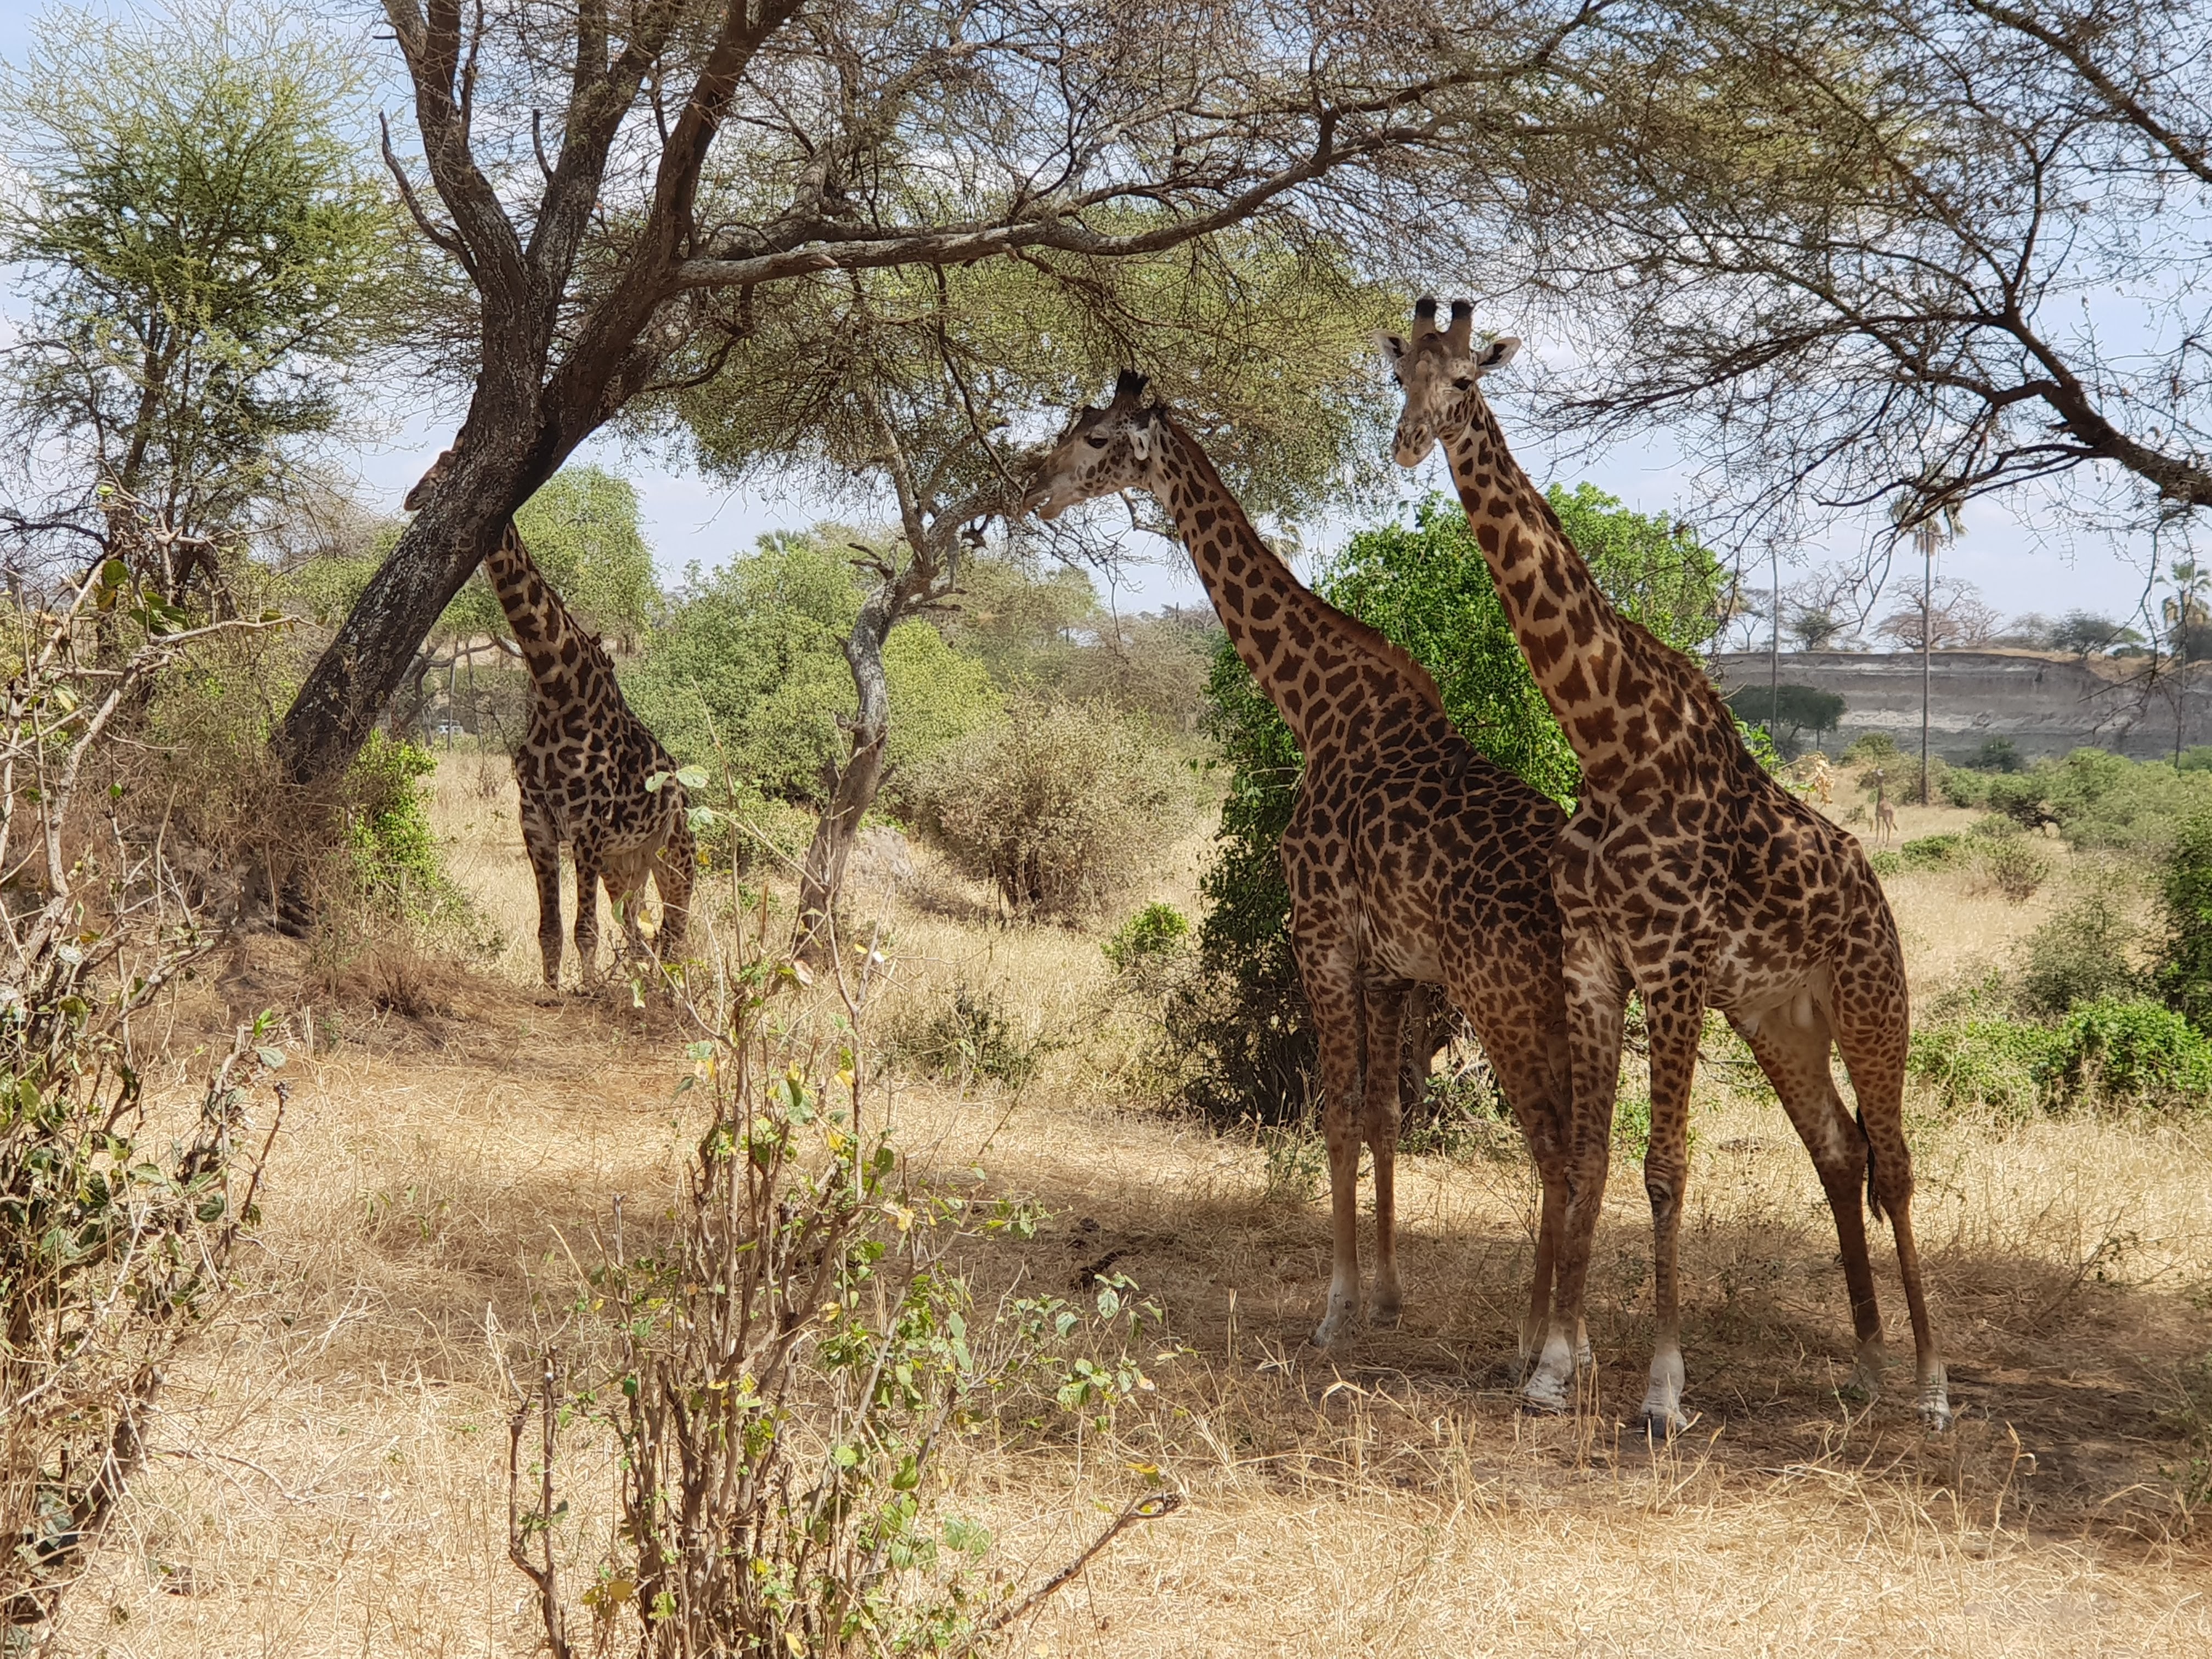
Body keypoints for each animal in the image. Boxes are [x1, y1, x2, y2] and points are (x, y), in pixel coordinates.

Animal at [405, 450, 693, 989]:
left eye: (452, 467)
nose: (412, 498)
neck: (556, 689)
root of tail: (681, 787)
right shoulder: (536, 820)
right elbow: (550, 929)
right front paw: (553, 991)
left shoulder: (588, 825)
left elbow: (585, 930)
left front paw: (586, 993)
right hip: (626, 862)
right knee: (640, 929)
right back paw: (641, 987)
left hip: (674, 852)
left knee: (676, 930)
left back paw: (666, 995)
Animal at [1022, 373, 1586, 1381]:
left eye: (1094, 437)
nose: (1033, 490)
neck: (1315, 708)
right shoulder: (1391, 967)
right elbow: (1384, 1117)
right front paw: (1389, 1298)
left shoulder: (1318, 936)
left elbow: (1334, 1117)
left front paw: (1334, 1311)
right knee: (1587, 1149)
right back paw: (1569, 1339)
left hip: (1504, 996)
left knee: (1554, 1148)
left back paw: (1544, 1351)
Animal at [1381, 300, 1951, 1433]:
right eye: (1397, 377)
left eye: (1465, 379)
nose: (1409, 443)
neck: (1609, 738)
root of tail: (1872, 885)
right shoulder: (1593, 963)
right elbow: (1591, 1156)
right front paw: (1553, 1372)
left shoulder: (1674, 964)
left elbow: (1663, 1165)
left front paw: (1660, 1390)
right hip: (1781, 1016)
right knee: (1840, 1150)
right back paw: (1865, 1366)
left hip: (1873, 995)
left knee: (1898, 1162)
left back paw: (1930, 1383)